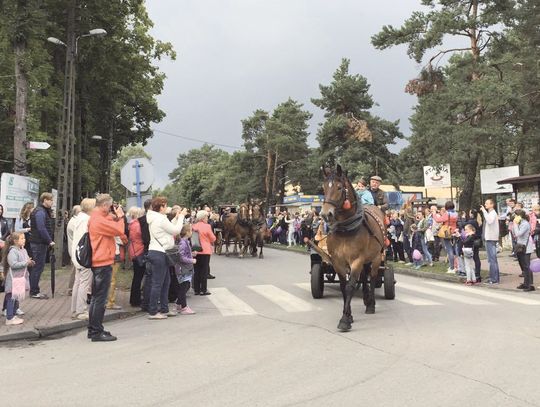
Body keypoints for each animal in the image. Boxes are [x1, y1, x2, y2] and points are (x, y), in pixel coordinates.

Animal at [318, 164, 386, 334]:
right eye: (323, 187)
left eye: (339, 187)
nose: (325, 214)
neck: (346, 229)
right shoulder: (337, 261)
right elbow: (344, 287)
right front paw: (348, 316)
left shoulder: (356, 260)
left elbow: (350, 287)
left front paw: (344, 321)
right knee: (364, 276)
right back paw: (366, 298)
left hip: (376, 257)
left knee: (372, 277)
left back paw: (371, 304)